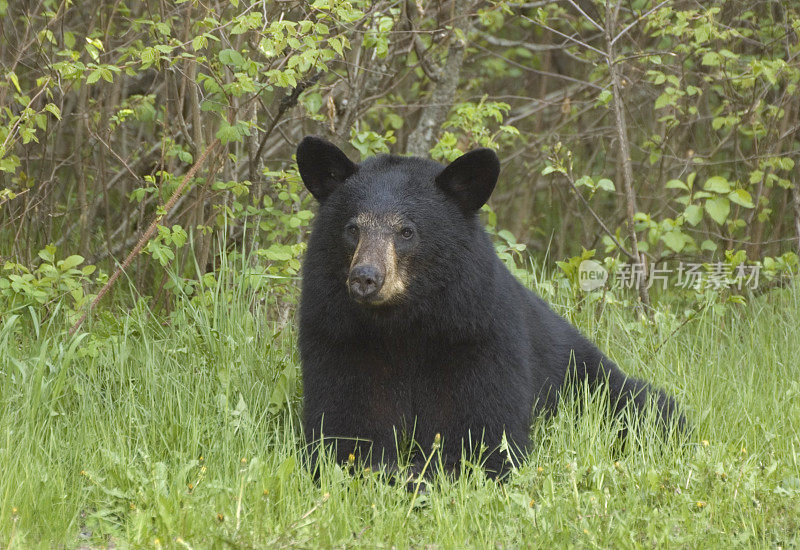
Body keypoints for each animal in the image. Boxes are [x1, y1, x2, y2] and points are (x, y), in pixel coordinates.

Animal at [294, 136, 680, 480]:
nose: (365, 278)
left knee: (646, 407)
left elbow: (483, 436)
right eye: (352, 228)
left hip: (588, 378)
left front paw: (423, 473)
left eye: (407, 231)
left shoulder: (477, 337)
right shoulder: (341, 338)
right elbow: (345, 428)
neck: (403, 324)